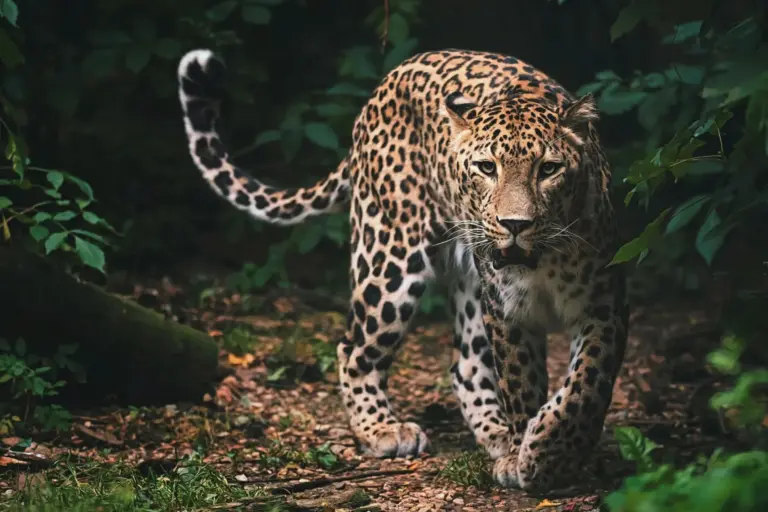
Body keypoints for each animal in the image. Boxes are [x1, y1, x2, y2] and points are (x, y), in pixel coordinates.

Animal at [177, 48, 628, 492]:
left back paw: (496, 436)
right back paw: (383, 430)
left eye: (548, 169)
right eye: (487, 168)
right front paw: (530, 457)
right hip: (390, 258)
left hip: (467, 283)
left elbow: (586, 386)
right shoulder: (507, 312)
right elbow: (521, 385)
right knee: (353, 348)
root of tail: (387, 82)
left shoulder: (604, 304)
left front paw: (550, 452)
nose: (514, 224)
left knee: (465, 364)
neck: (543, 261)